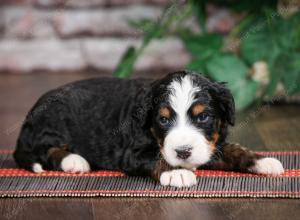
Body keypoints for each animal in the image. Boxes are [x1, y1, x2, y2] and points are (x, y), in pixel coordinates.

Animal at [14, 71, 284, 187]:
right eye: (163, 120)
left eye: (203, 117)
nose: (183, 152)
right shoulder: (131, 153)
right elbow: (156, 158)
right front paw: (177, 173)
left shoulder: (209, 146)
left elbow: (232, 150)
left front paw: (262, 160)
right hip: (52, 122)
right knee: (46, 150)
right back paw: (74, 160)